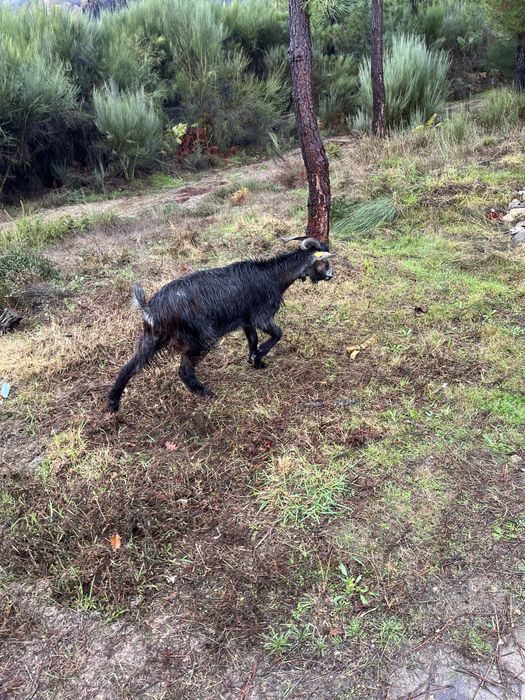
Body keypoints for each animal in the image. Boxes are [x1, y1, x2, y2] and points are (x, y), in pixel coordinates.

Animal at [107, 236, 334, 412]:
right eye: (324, 261)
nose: (330, 276)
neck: (273, 275)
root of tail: (152, 308)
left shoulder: (246, 320)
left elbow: (253, 340)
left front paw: (256, 361)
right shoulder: (262, 316)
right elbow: (278, 333)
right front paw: (259, 355)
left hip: (153, 339)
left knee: (130, 366)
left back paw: (113, 403)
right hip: (199, 339)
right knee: (184, 370)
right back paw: (205, 392)